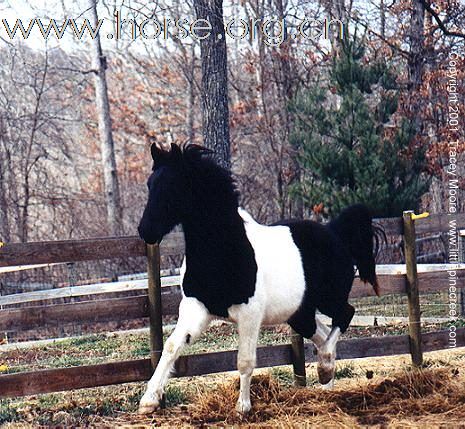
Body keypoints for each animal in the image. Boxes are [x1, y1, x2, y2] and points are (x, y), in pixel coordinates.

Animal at [135, 144, 380, 414]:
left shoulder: (249, 315)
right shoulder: (196, 307)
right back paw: (327, 381)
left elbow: (245, 361)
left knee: (346, 314)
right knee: (323, 332)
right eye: (150, 184)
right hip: (299, 314)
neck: (224, 253)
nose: (145, 231)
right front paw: (148, 401)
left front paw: (243, 407)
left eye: (173, 186)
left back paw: (325, 370)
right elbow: (171, 347)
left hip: (329, 299)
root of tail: (334, 232)